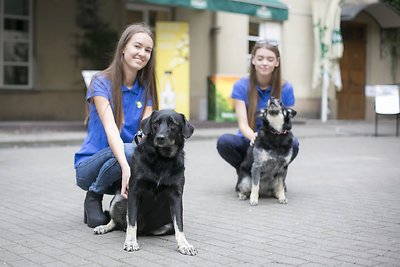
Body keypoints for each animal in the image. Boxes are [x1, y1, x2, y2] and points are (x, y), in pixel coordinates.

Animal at [95, 111, 198, 258]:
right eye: (155, 123)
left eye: (173, 124)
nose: (160, 138)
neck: (162, 159)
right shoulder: (133, 191)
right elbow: (132, 221)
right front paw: (131, 242)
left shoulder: (176, 195)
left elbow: (179, 224)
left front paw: (184, 245)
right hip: (118, 197)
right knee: (116, 220)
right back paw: (104, 227)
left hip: (167, 226)